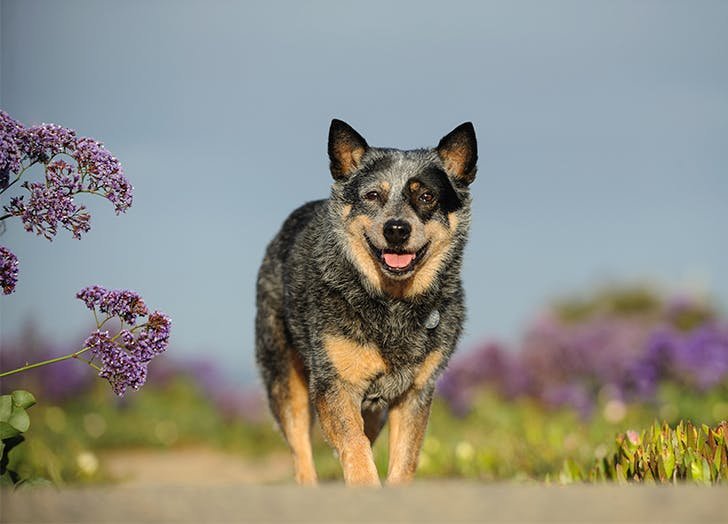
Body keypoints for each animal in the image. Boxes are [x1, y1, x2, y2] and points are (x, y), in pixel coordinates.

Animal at [256, 119, 478, 488]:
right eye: (373, 195)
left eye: (426, 197)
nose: (397, 229)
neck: (392, 303)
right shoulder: (335, 383)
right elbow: (353, 443)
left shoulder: (415, 392)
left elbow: (405, 458)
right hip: (283, 372)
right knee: (301, 448)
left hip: (374, 408)